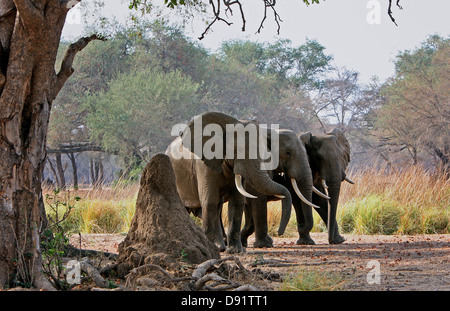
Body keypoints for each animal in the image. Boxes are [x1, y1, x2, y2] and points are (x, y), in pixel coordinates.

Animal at [165, 112, 296, 254]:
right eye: (238, 150)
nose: (279, 232)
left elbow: (237, 203)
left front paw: (236, 251)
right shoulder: (203, 165)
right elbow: (209, 201)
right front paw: (210, 249)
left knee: (218, 207)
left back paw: (220, 247)